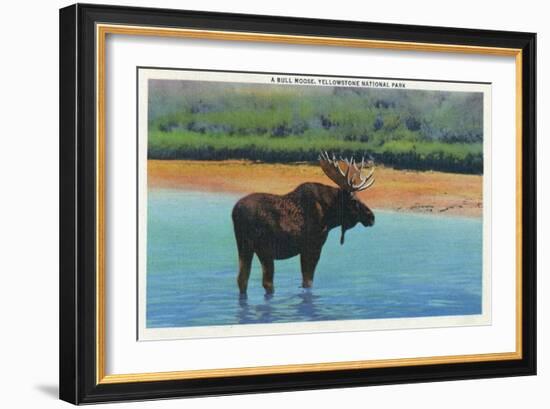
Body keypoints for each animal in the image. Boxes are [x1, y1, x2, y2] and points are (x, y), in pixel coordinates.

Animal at [231, 151, 378, 294]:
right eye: (354, 200)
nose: (372, 217)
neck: (330, 216)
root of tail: (235, 212)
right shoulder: (313, 246)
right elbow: (308, 281)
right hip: (264, 248)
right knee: (266, 282)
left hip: (244, 246)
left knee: (242, 279)